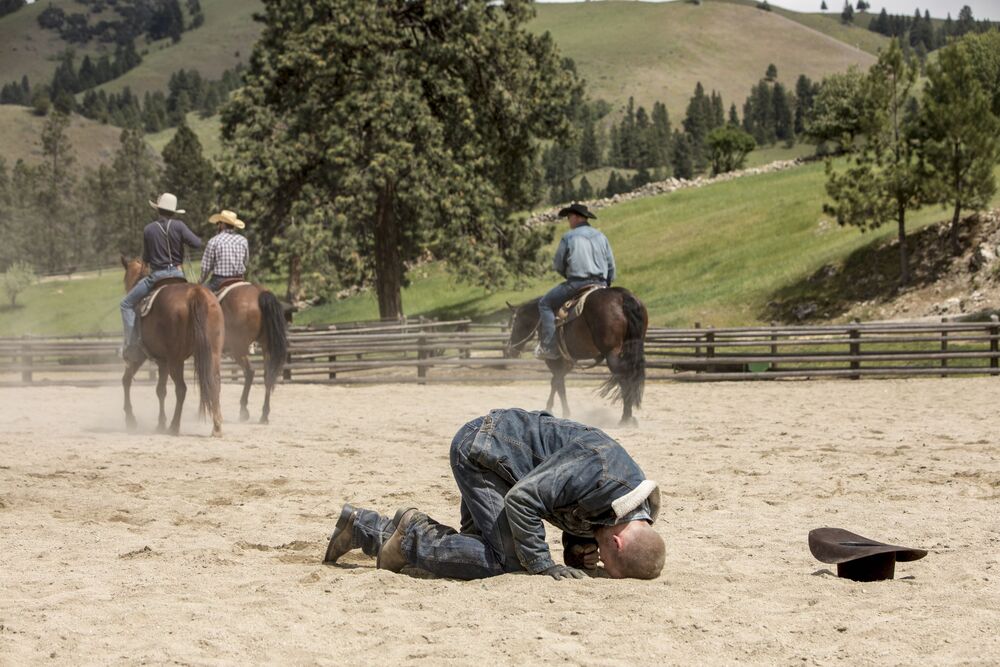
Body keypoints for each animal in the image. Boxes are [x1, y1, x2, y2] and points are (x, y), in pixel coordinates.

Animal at [121, 258, 225, 438]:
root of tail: (195, 293)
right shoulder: (162, 361)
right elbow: (160, 390)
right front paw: (160, 423)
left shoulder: (141, 355)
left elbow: (126, 380)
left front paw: (131, 420)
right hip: (212, 353)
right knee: (215, 383)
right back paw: (216, 427)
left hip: (175, 360)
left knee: (181, 389)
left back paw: (174, 426)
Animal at [214, 284, 288, 426]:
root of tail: (259, 293)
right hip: (266, 347)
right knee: (267, 376)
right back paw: (264, 415)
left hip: (238, 348)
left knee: (249, 371)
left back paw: (243, 411)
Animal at [508, 288, 648, 426]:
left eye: (515, 323)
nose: (511, 349)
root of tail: (622, 296)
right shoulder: (568, 361)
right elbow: (559, 383)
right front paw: (563, 412)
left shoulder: (554, 360)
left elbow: (556, 383)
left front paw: (551, 409)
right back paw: (630, 417)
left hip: (612, 354)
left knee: (624, 379)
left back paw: (625, 418)